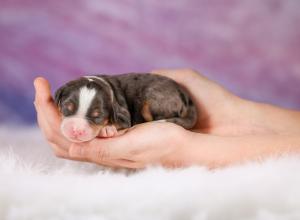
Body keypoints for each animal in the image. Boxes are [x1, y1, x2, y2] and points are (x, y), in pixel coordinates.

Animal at [54, 73, 197, 143]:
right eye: (67, 107)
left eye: (97, 116)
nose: (76, 131)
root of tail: (186, 96)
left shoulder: (124, 116)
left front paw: (106, 129)